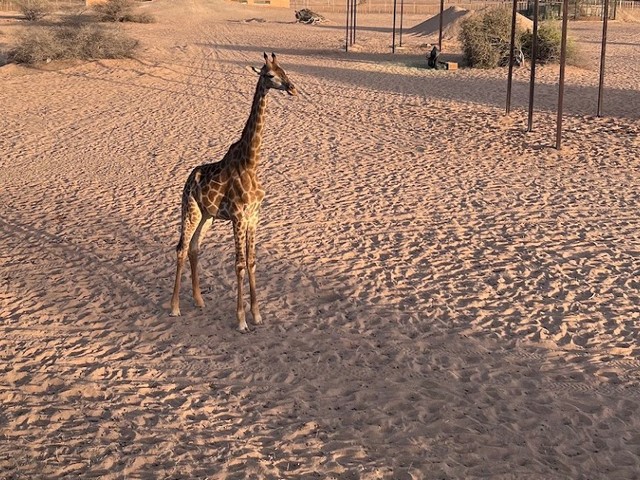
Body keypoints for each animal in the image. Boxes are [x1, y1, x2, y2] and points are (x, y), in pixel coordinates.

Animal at [171, 51, 298, 330]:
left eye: (284, 70)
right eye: (269, 74)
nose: (292, 88)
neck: (251, 162)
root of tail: (188, 178)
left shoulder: (254, 217)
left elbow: (251, 261)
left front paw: (257, 314)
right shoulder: (238, 217)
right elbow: (239, 264)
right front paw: (241, 319)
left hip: (207, 216)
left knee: (195, 247)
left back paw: (198, 300)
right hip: (190, 210)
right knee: (182, 248)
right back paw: (174, 307)